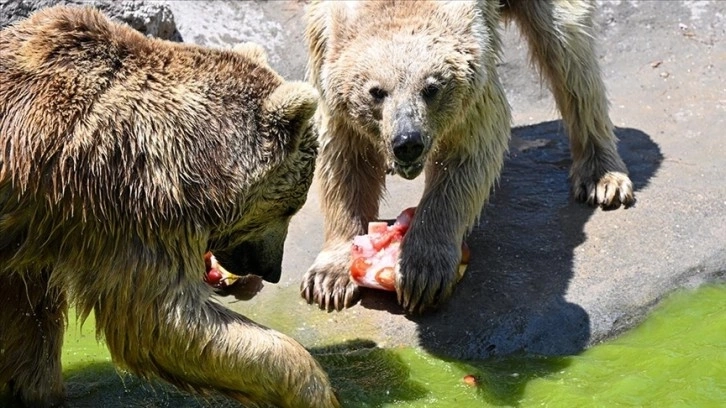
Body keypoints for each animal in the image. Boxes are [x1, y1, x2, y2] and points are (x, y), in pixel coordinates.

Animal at [0, 5, 342, 408]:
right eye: (290, 207)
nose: (271, 270)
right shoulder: (135, 207)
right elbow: (165, 322)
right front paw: (315, 390)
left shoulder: (46, 226)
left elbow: (30, 311)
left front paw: (36, 387)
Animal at [302, 0, 636, 312]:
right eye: (376, 91)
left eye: (431, 88)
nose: (407, 141)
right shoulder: (326, 60)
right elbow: (343, 161)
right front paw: (329, 279)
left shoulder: (474, 89)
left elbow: (466, 157)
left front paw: (422, 271)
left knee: (568, 51)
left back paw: (602, 177)